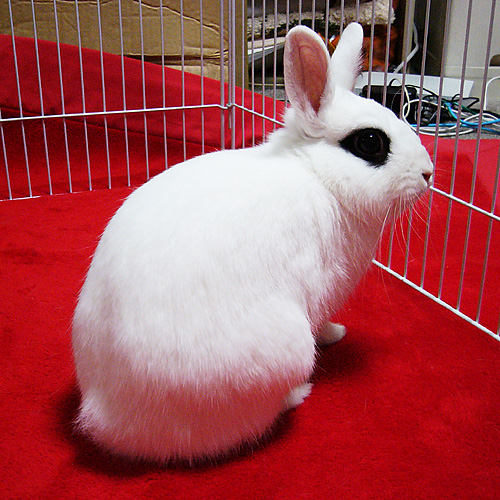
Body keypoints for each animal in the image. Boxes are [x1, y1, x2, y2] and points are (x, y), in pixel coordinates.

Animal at [72, 22, 433, 464]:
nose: (428, 173)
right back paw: (298, 393)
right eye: (369, 142)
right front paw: (333, 336)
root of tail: (111, 418)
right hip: (284, 354)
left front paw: (337, 333)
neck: (317, 176)